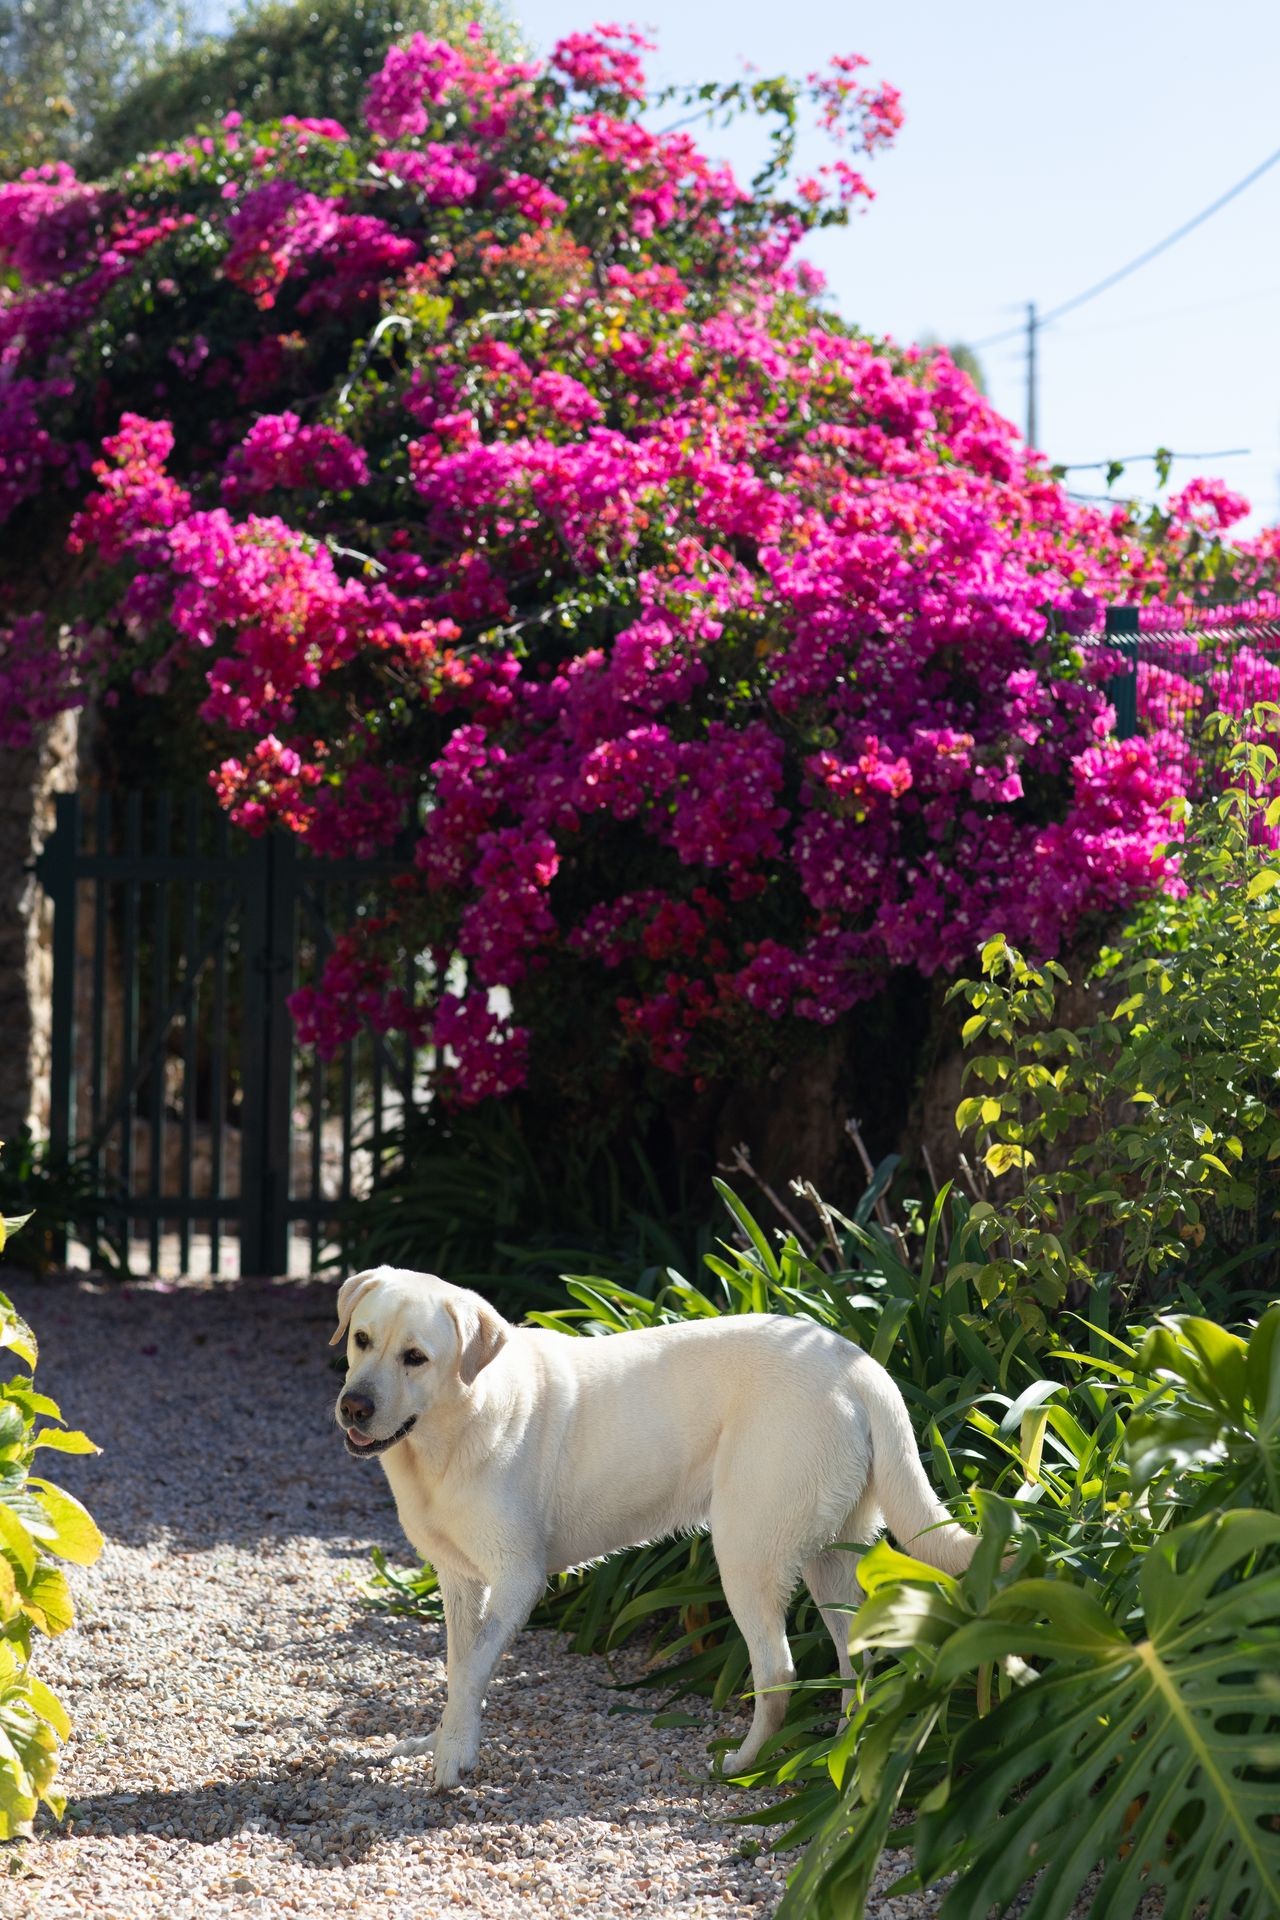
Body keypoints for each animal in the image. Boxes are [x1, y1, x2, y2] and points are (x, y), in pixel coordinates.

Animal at [330, 1259, 971, 1781]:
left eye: (415, 1358)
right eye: (361, 1340)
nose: (353, 1407)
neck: (451, 1430)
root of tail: (858, 1363)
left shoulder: (518, 1578)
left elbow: (471, 1670)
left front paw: (453, 1757)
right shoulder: (461, 1579)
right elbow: (458, 1665)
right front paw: (440, 1739)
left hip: (747, 1551)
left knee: (778, 1671)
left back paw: (745, 1764)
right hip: (832, 1556)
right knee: (856, 1659)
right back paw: (840, 1751)